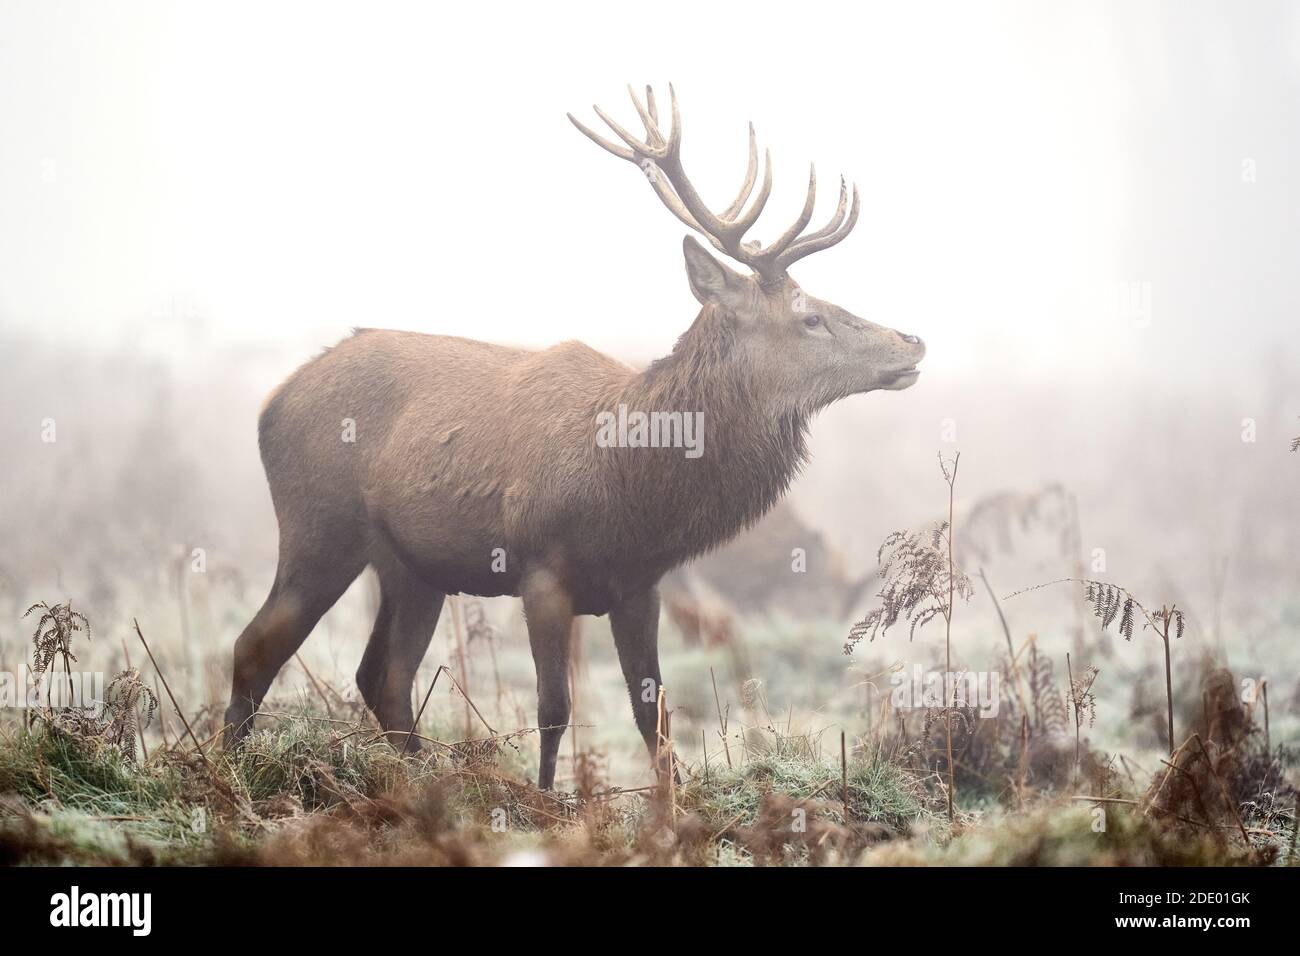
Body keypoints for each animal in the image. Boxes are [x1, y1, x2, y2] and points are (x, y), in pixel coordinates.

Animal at [223, 85, 925, 790]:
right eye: (810, 318)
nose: (914, 340)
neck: (630, 481)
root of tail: (270, 403)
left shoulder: (641, 583)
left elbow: (654, 714)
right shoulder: (541, 569)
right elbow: (554, 708)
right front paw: (545, 800)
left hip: (413, 566)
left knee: (383, 675)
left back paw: (430, 781)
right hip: (319, 527)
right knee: (255, 646)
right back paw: (230, 770)